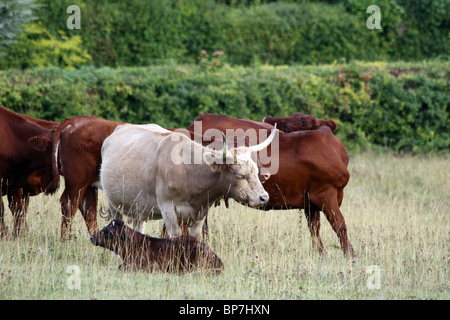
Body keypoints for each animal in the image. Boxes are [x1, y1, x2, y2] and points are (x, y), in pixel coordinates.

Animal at [100, 124, 276, 239]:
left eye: (256, 171)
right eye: (240, 175)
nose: (264, 197)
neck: (189, 172)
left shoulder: (201, 212)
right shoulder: (167, 208)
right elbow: (176, 236)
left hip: (139, 208)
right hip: (114, 205)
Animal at [186, 112, 356, 258]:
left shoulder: (311, 201)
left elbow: (314, 228)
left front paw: (320, 254)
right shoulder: (325, 194)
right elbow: (340, 224)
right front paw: (350, 255)